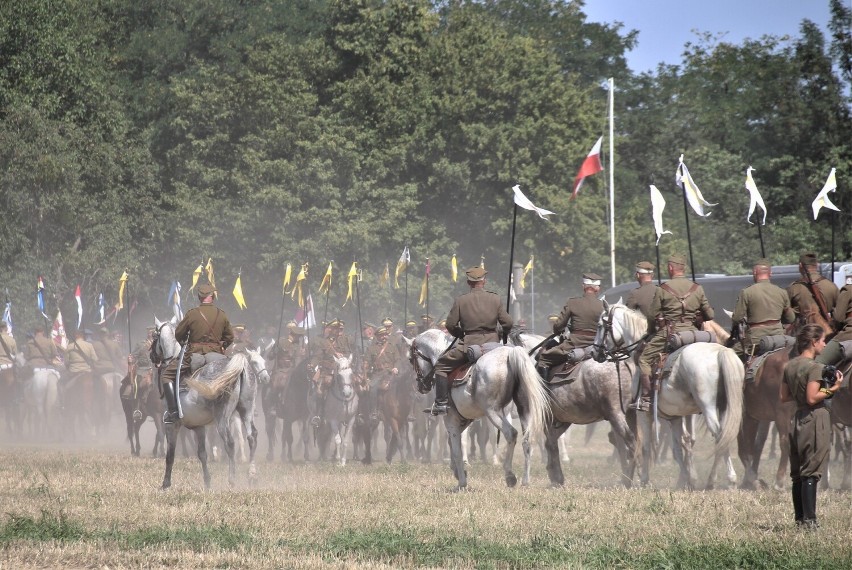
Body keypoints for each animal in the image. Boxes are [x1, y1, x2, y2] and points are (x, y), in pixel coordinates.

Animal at [153, 320, 270, 488]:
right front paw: (207, 482)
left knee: (230, 442)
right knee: (251, 436)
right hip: (246, 410)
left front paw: (166, 483)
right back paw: (252, 475)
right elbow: (202, 454)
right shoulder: (199, 426)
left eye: (154, 336)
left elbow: (170, 454)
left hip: (223, 417)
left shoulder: (171, 424)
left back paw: (232, 479)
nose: (152, 356)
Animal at [408, 328, 552, 488]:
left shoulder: (451, 419)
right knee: (527, 439)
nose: (421, 386)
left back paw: (509, 475)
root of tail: (510, 355)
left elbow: (457, 448)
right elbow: (454, 443)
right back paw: (525, 480)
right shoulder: (465, 419)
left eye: (411, 359)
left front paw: (462, 481)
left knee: (511, 433)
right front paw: (458, 471)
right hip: (524, 409)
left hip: (493, 412)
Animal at [592, 302, 744, 488]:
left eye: (600, 325)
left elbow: (646, 446)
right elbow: (679, 447)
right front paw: (687, 479)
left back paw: (727, 479)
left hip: (708, 407)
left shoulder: (644, 413)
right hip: (724, 407)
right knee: (724, 436)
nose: (595, 353)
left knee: (719, 434)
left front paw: (644, 480)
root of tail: (720, 353)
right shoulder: (675, 416)